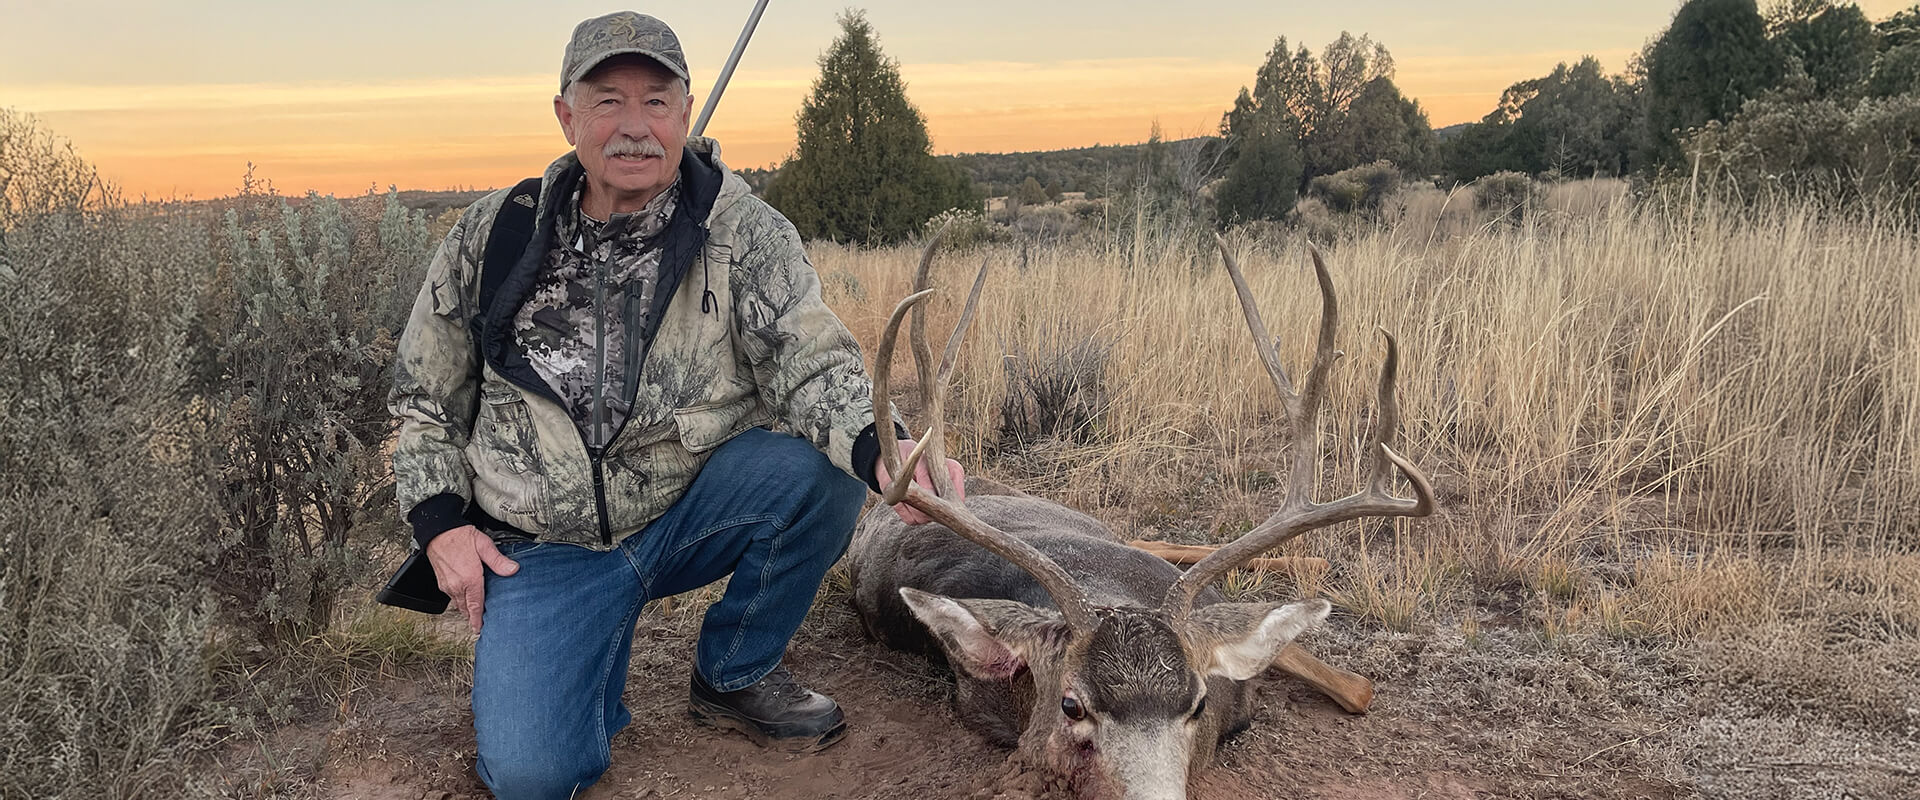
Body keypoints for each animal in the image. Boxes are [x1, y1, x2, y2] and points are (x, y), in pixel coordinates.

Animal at [846, 233, 1436, 800]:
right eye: (1071, 706)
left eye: (1197, 703)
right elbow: (1355, 685)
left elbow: (1358, 688)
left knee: (1156, 541)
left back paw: (1310, 561)